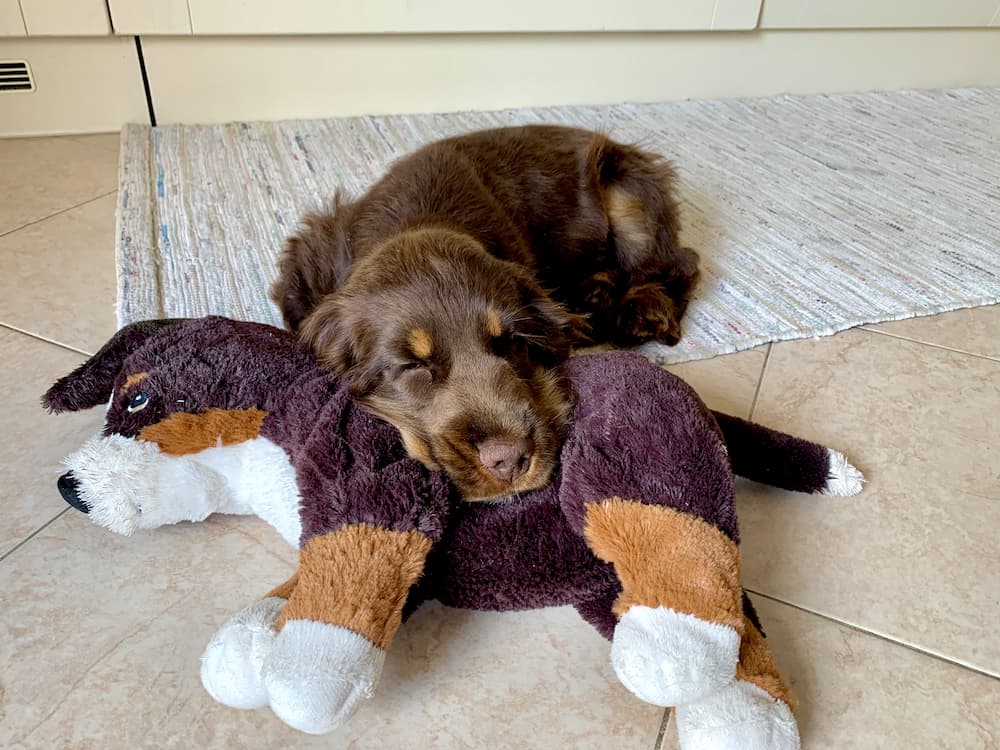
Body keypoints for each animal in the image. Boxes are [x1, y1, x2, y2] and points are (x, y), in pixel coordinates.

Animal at [270, 126, 700, 502]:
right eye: (412, 366)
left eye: (511, 342)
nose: (509, 461)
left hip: (627, 196)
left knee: (677, 261)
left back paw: (643, 310)